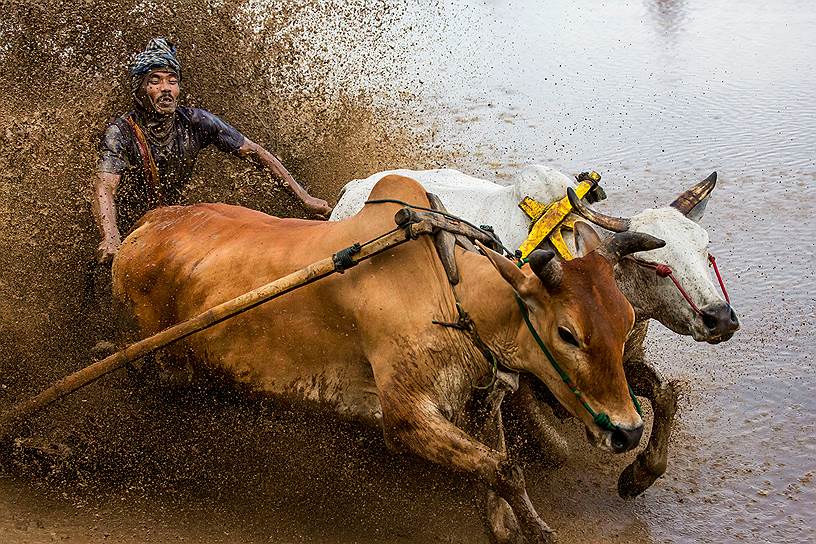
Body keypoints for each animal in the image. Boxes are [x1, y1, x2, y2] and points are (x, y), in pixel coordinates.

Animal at [113, 176, 664, 540]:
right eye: (567, 332)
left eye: (625, 319)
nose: (628, 431)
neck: (454, 293)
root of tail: (145, 225)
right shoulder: (405, 417)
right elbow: (506, 468)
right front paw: (540, 533)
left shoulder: (483, 397)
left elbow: (499, 470)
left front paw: (507, 523)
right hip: (163, 354)